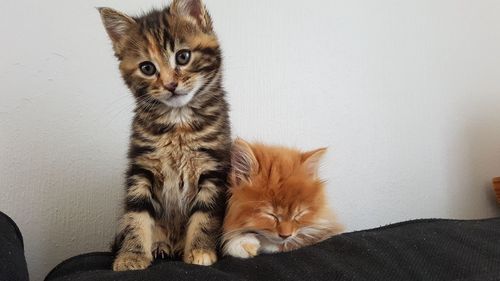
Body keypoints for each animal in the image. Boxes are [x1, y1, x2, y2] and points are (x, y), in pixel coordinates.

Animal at [98, 0, 231, 270]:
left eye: (183, 56)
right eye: (147, 68)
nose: (170, 85)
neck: (178, 121)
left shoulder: (213, 167)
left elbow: (206, 214)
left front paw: (200, 250)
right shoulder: (141, 167)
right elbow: (136, 215)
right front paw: (131, 255)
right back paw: (159, 245)